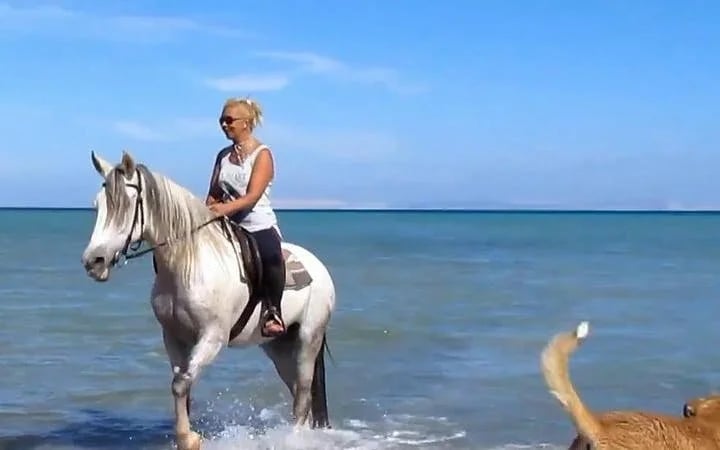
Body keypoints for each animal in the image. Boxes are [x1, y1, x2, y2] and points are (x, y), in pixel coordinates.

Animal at [80, 150, 336, 450]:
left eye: (127, 204)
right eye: (98, 205)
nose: (93, 262)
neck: (188, 263)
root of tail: (319, 267)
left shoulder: (212, 338)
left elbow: (181, 384)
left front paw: (189, 439)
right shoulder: (174, 338)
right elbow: (181, 386)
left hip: (309, 338)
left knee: (304, 392)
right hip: (278, 347)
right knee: (296, 390)